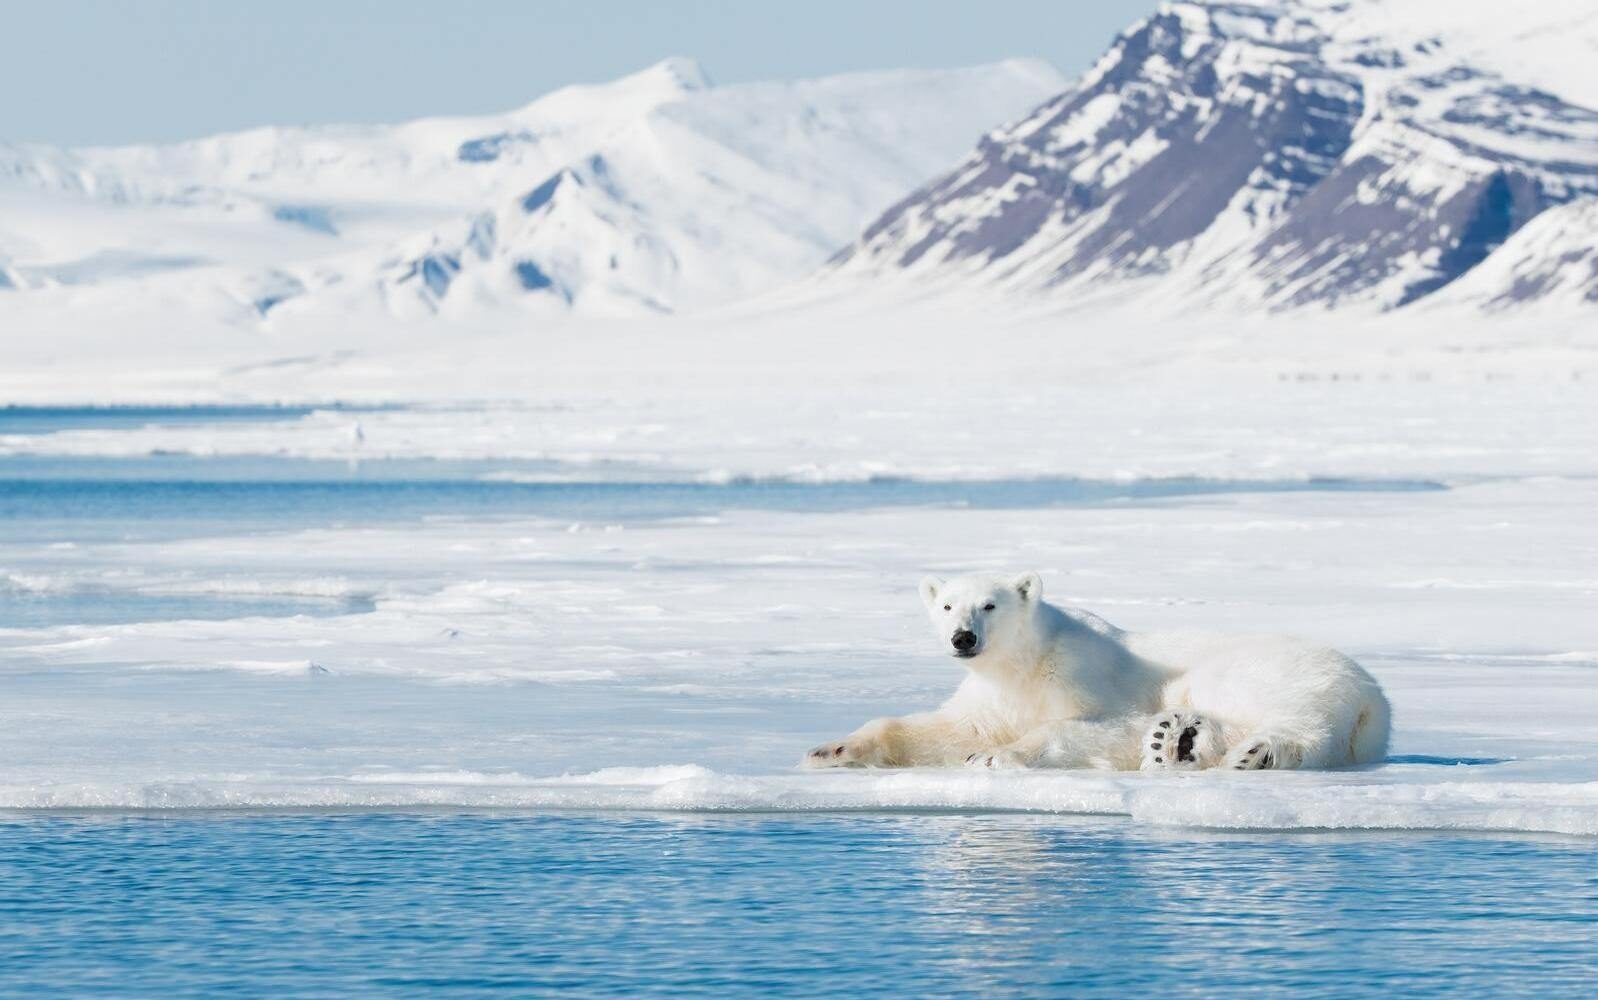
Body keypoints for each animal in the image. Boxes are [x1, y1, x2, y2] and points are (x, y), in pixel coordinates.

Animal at [802, 571, 1390, 772]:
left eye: (990, 605)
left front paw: (996, 756)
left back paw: (1252, 752)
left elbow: (1101, 727)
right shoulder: (993, 697)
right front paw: (831, 749)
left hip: (1270, 667)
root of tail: (1374, 698)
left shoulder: (1082, 674)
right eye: (947, 605)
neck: (1026, 664)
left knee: (1292, 718)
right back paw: (1175, 741)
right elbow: (946, 730)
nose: (963, 638)